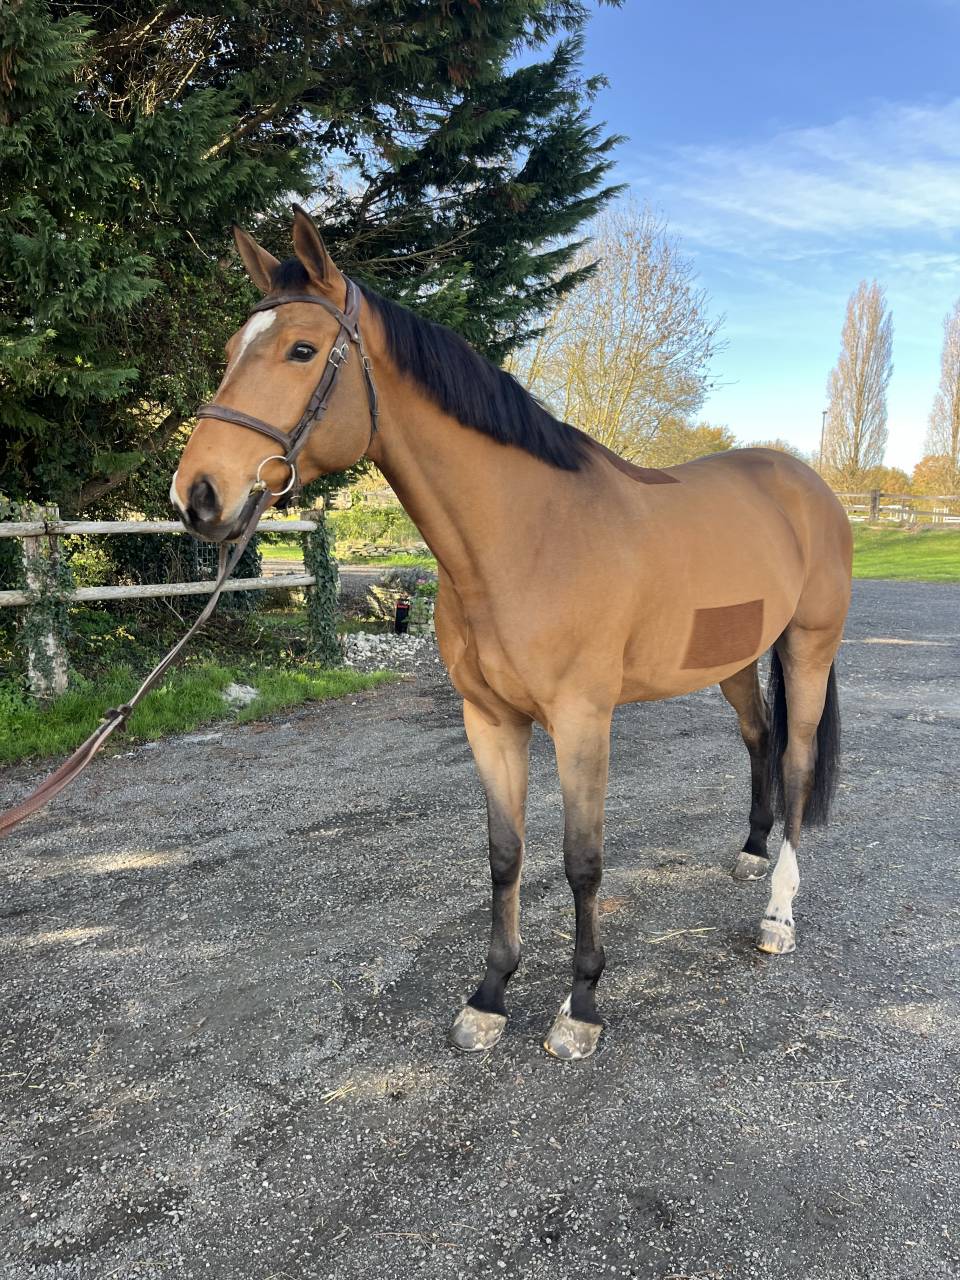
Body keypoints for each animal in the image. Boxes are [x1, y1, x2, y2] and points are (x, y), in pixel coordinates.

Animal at [171, 207, 853, 1061]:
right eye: (233, 349)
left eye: (300, 349)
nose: (197, 494)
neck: (527, 535)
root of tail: (807, 486)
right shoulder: (489, 720)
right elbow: (505, 854)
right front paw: (490, 997)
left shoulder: (582, 721)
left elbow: (582, 861)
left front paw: (580, 1006)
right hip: (733, 659)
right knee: (759, 740)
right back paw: (750, 853)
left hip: (808, 649)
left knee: (795, 764)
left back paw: (777, 914)